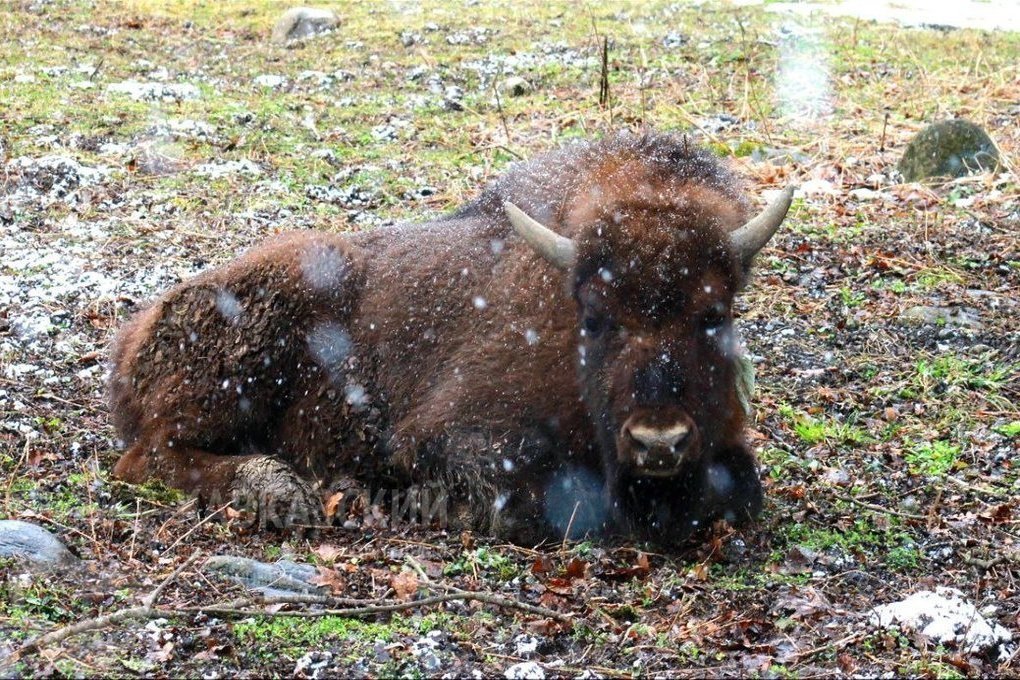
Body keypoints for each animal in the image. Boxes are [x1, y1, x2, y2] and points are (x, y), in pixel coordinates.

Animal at [113, 132, 795, 546]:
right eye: (596, 317)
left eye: (714, 313)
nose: (659, 441)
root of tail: (136, 335)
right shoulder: (446, 432)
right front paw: (423, 502)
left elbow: (743, 491)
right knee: (148, 457)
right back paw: (286, 492)